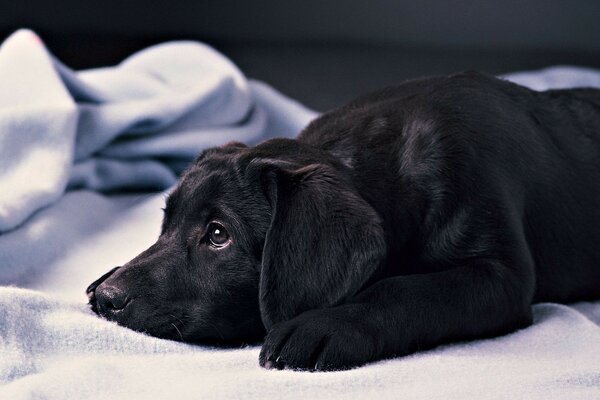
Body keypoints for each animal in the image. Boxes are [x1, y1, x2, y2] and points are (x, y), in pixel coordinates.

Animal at [88, 71, 600, 368]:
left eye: (218, 236)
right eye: (165, 224)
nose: (109, 299)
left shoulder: (501, 275)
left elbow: (408, 289)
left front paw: (328, 325)